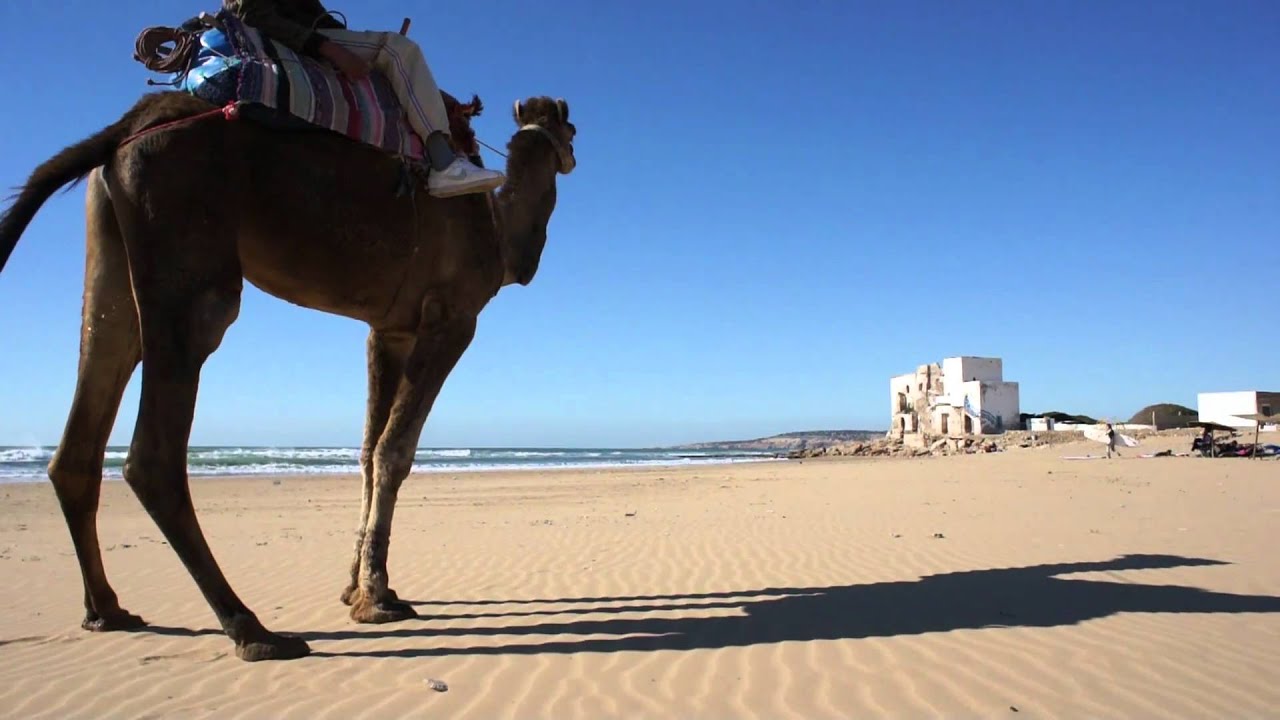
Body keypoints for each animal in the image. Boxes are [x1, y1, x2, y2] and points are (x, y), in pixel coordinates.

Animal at [0, 90, 577, 661]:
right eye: (571, 130)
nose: (572, 156)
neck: (497, 231)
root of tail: (126, 129)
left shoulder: (388, 329)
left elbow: (367, 452)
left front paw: (361, 587)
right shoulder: (451, 318)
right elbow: (393, 452)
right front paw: (375, 600)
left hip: (110, 253)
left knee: (93, 396)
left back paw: (108, 610)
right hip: (187, 247)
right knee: (154, 452)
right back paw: (251, 629)